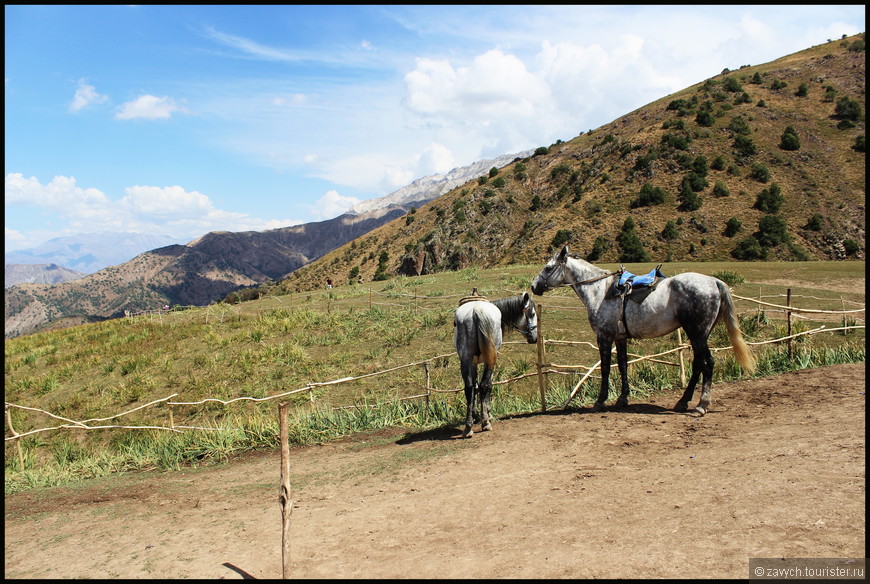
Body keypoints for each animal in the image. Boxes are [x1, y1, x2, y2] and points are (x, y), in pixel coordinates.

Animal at [456, 294, 540, 436]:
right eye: (533, 314)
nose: (535, 338)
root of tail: (476, 311)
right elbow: (488, 385)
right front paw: (487, 414)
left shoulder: (473, 363)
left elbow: (475, 387)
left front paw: (475, 415)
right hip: (490, 360)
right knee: (484, 385)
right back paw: (486, 423)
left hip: (465, 359)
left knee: (469, 388)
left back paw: (468, 427)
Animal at [532, 246, 756, 416]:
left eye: (548, 267)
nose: (534, 286)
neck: (599, 290)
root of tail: (713, 282)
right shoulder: (620, 338)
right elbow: (622, 365)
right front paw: (623, 398)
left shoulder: (604, 337)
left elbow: (605, 368)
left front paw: (600, 400)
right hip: (700, 334)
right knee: (698, 364)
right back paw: (683, 402)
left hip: (697, 333)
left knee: (707, 363)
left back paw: (702, 405)